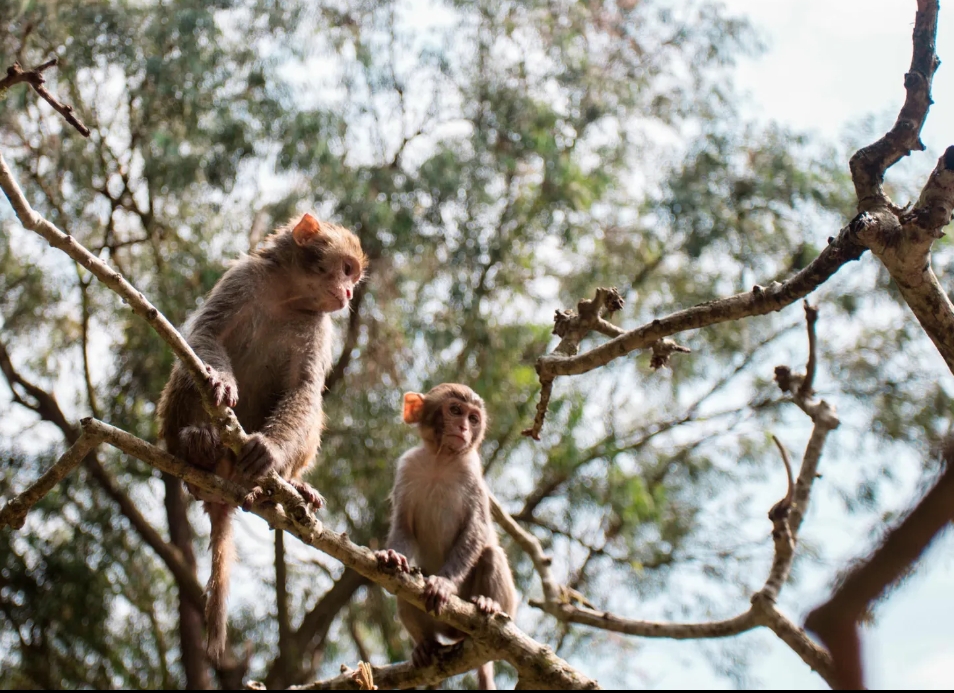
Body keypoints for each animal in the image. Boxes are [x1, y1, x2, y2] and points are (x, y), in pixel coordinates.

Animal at [154, 211, 366, 660]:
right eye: (346, 268)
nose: (349, 291)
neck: (288, 296)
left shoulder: (318, 327)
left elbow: (303, 390)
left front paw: (269, 452)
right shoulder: (243, 278)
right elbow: (206, 335)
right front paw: (220, 384)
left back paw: (283, 486)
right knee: (188, 370)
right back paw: (196, 446)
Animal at [374, 382, 520, 688]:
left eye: (473, 418)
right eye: (455, 410)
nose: (463, 428)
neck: (440, 461)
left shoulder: (473, 473)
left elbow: (477, 527)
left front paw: (445, 583)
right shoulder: (407, 467)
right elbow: (403, 526)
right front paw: (392, 555)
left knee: (490, 554)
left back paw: (488, 604)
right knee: (403, 588)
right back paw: (425, 645)